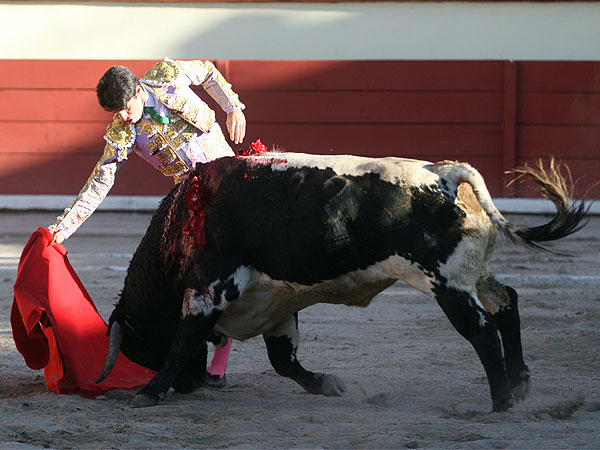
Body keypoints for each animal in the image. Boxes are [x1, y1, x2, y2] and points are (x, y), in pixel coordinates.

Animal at [97, 154, 584, 412]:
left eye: (143, 348)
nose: (190, 386)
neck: (185, 218)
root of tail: (444, 174)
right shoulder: (275, 303)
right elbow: (284, 361)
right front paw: (328, 385)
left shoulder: (209, 289)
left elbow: (183, 342)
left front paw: (149, 392)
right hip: (473, 274)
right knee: (507, 302)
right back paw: (519, 384)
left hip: (445, 283)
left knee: (481, 331)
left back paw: (500, 402)